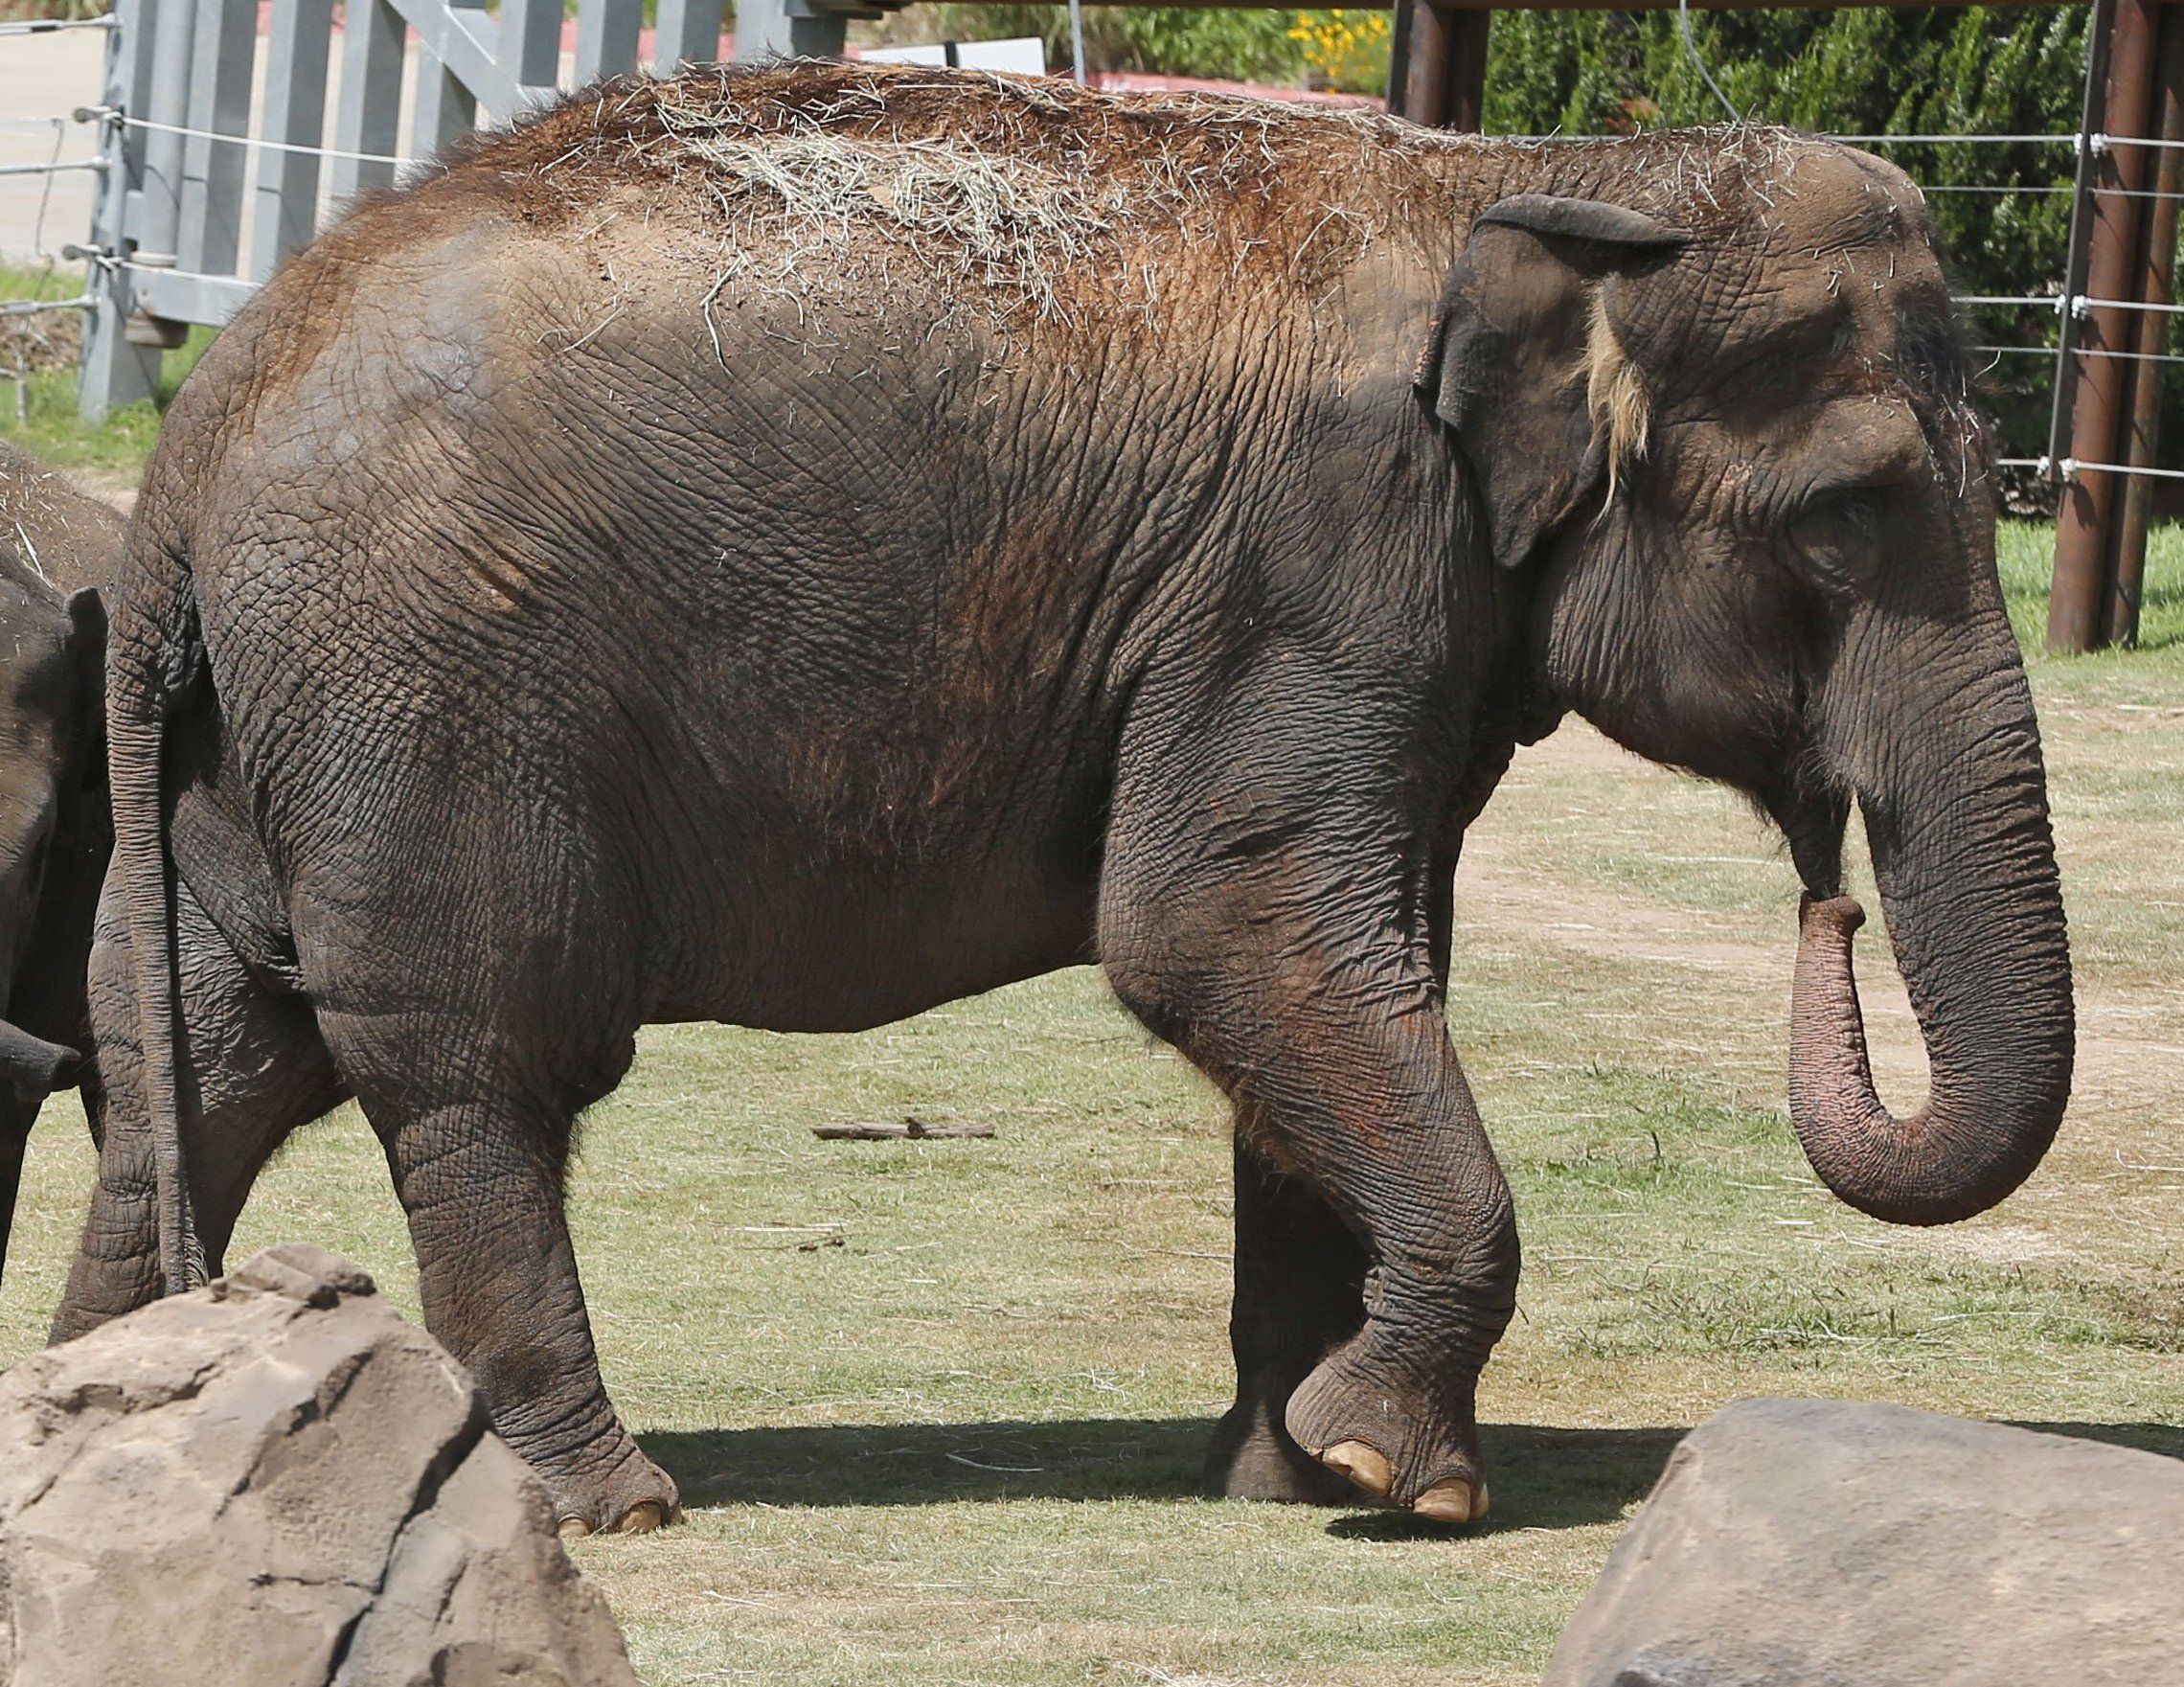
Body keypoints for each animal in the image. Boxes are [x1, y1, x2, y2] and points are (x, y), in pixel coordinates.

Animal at [63, 64, 2072, 1535]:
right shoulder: (1316, 567)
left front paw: (1300, 1474)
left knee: (197, 1061)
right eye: (1843, 521)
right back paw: (608, 1504)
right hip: (431, 703)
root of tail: (203, 422)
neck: (1536, 184)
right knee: (475, 1061)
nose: (1830, 888)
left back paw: (102, 1427)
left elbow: (1344, 964)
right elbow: (1219, 933)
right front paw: (1395, 1477)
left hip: (259, 745)